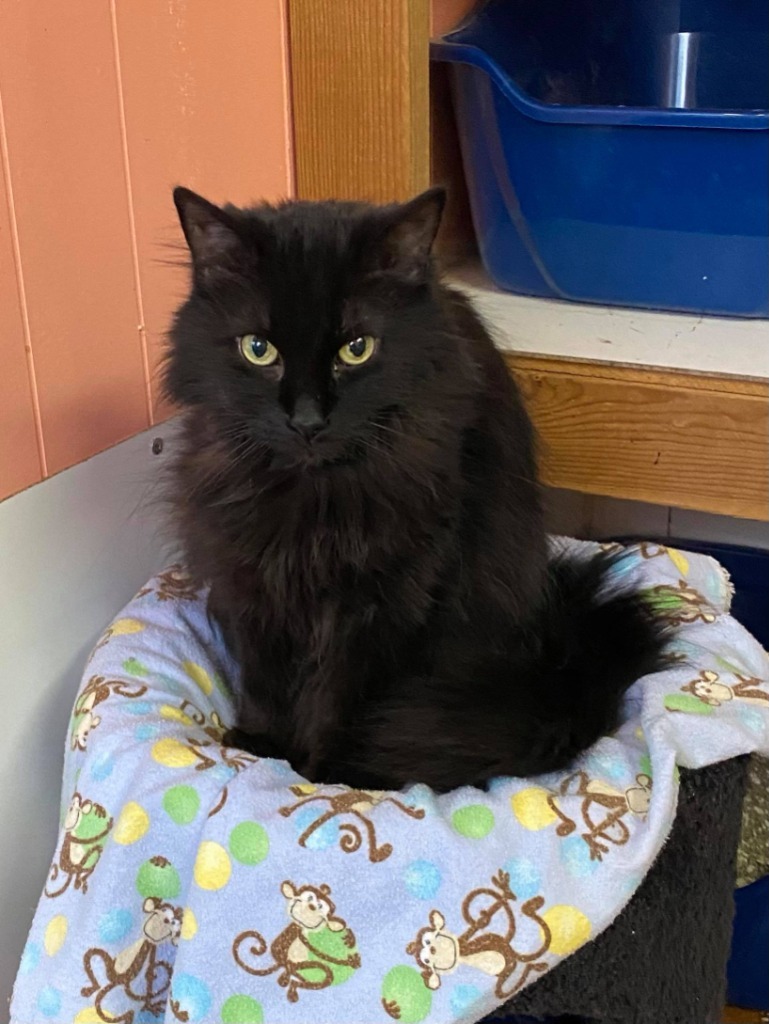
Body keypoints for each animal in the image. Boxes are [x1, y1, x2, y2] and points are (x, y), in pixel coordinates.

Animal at [163, 186, 667, 790]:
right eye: (258, 348)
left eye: (356, 348)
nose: (307, 419)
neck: (315, 502)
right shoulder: (252, 580)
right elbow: (264, 682)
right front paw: (261, 750)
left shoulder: (382, 604)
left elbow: (338, 700)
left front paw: (321, 776)